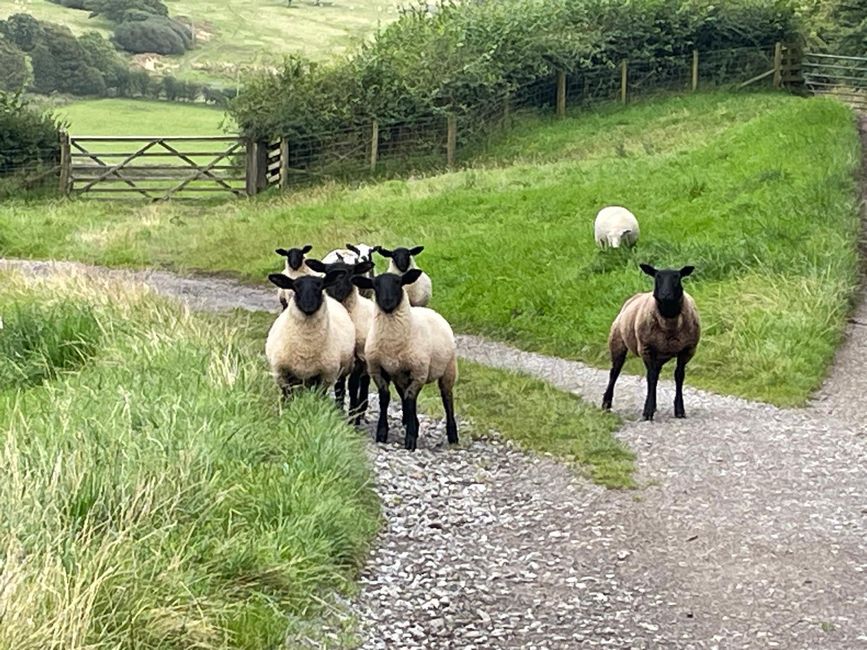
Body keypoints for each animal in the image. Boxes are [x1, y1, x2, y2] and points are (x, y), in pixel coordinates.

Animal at [266, 268, 358, 408]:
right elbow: (287, 397)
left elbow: (319, 397)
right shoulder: (281, 374)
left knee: (340, 389)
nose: (308, 306)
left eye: (320, 286)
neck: (306, 347)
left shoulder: (326, 375)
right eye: (295, 287)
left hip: (343, 369)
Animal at [352, 268, 462, 450]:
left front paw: (410, 439)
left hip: (448, 369)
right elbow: (385, 398)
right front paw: (382, 433)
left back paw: (452, 435)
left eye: (398, 282)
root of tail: (431, 311)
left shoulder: (418, 373)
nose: (387, 302)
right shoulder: (378, 370)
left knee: (447, 398)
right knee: (405, 396)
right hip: (400, 377)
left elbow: (410, 401)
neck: (392, 344)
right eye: (375, 285)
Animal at [604, 264, 704, 420]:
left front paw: (679, 410)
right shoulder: (646, 348)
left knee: (655, 372)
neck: (669, 321)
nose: (665, 294)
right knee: (614, 372)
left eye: (677, 277)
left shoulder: (687, 350)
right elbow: (651, 378)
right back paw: (606, 404)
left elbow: (679, 376)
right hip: (618, 342)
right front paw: (647, 412)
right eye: (657, 277)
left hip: (660, 355)